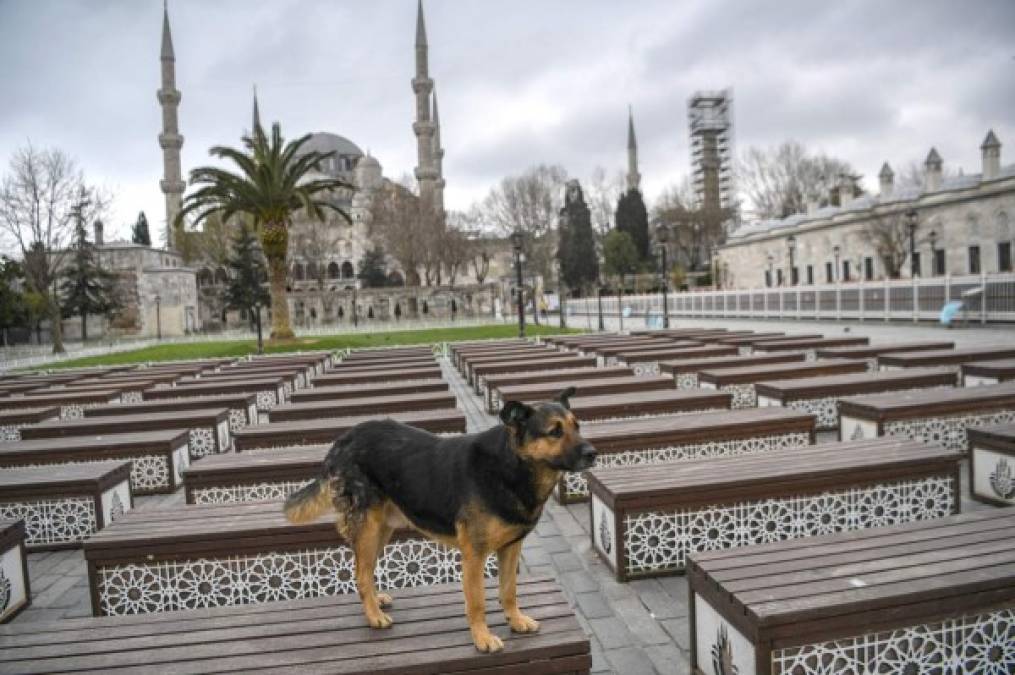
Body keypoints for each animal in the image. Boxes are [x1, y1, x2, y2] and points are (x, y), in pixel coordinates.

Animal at [282, 387, 592, 649]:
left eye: (577, 427)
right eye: (554, 432)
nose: (593, 453)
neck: (511, 466)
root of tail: (343, 439)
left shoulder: (511, 548)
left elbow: (509, 590)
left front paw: (515, 620)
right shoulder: (474, 555)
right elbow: (477, 601)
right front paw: (482, 638)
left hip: (381, 529)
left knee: (364, 569)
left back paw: (376, 601)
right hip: (368, 527)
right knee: (361, 572)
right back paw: (373, 616)